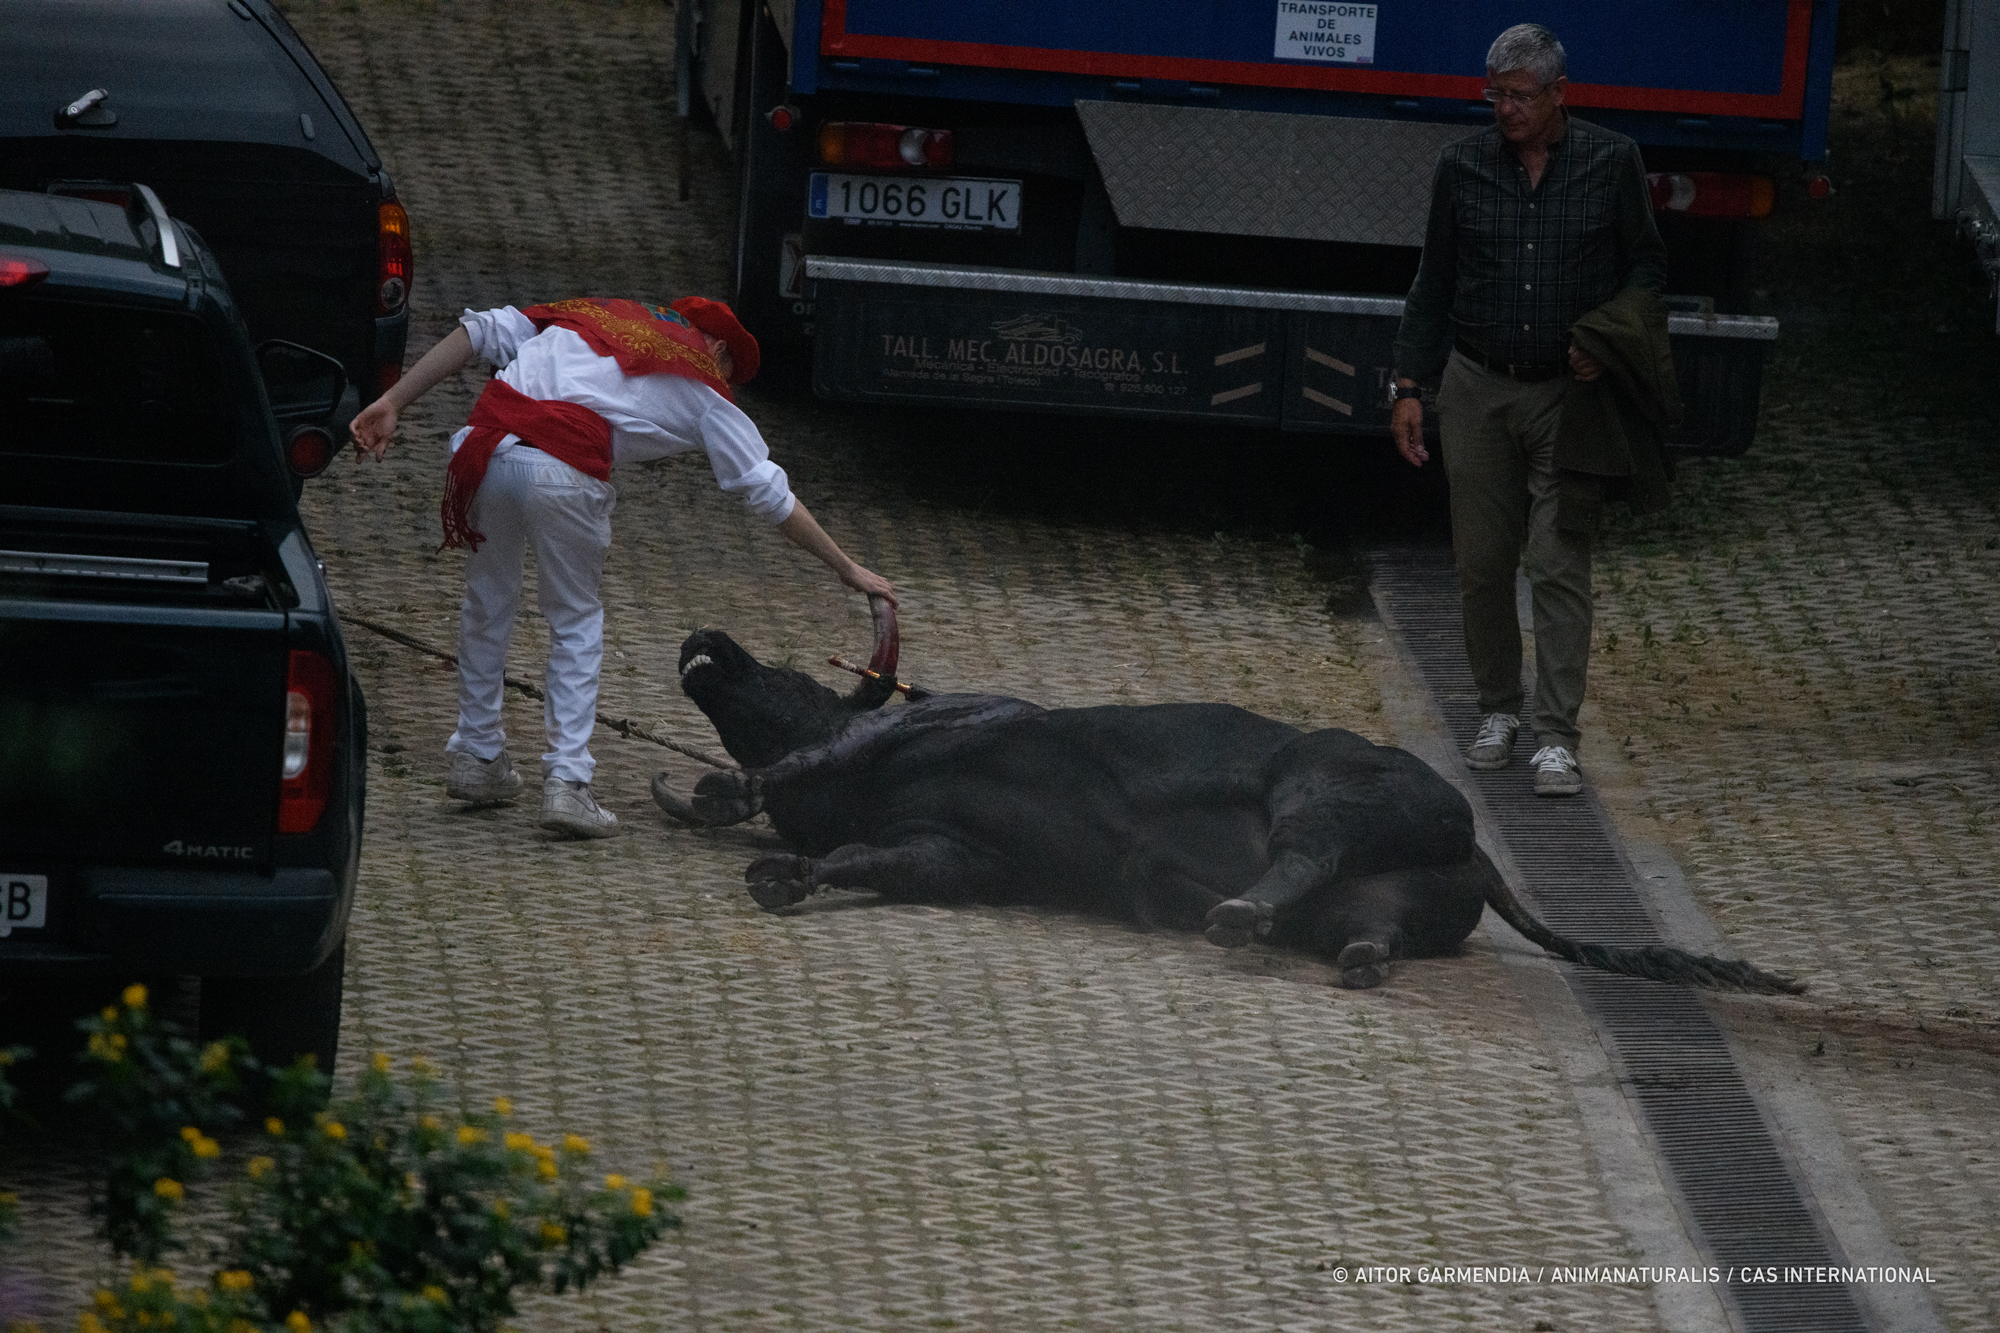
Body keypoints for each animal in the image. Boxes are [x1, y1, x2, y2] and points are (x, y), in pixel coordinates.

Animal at [655, 599, 1801, 994]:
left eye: (785, 675)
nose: (705, 647)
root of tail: (1474, 845)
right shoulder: (955, 853)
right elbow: (867, 863)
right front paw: (786, 873)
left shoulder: (916, 729)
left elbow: (791, 771)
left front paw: (718, 796)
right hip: (1377, 902)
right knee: (1361, 924)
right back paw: (1318, 947)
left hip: (1321, 787)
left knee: (1301, 852)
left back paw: (1232, 910)